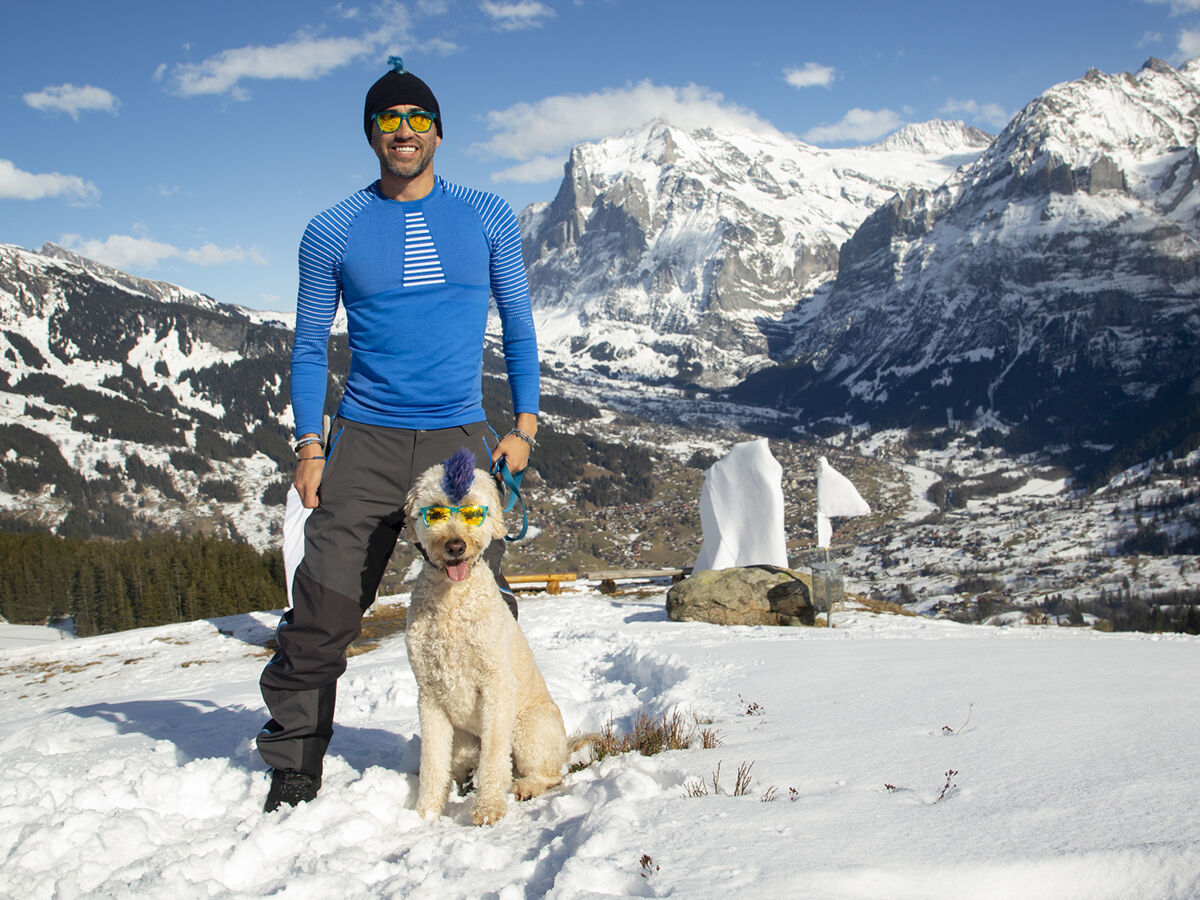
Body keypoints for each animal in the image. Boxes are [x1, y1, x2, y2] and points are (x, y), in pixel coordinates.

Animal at [403, 448, 571, 830]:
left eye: (472, 512)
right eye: (435, 511)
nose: (455, 546)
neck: (451, 599)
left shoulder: (496, 686)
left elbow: (495, 757)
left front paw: (488, 809)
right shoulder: (429, 695)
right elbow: (432, 762)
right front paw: (426, 814)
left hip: (528, 728)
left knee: (550, 774)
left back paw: (526, 786)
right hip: (465, 742)